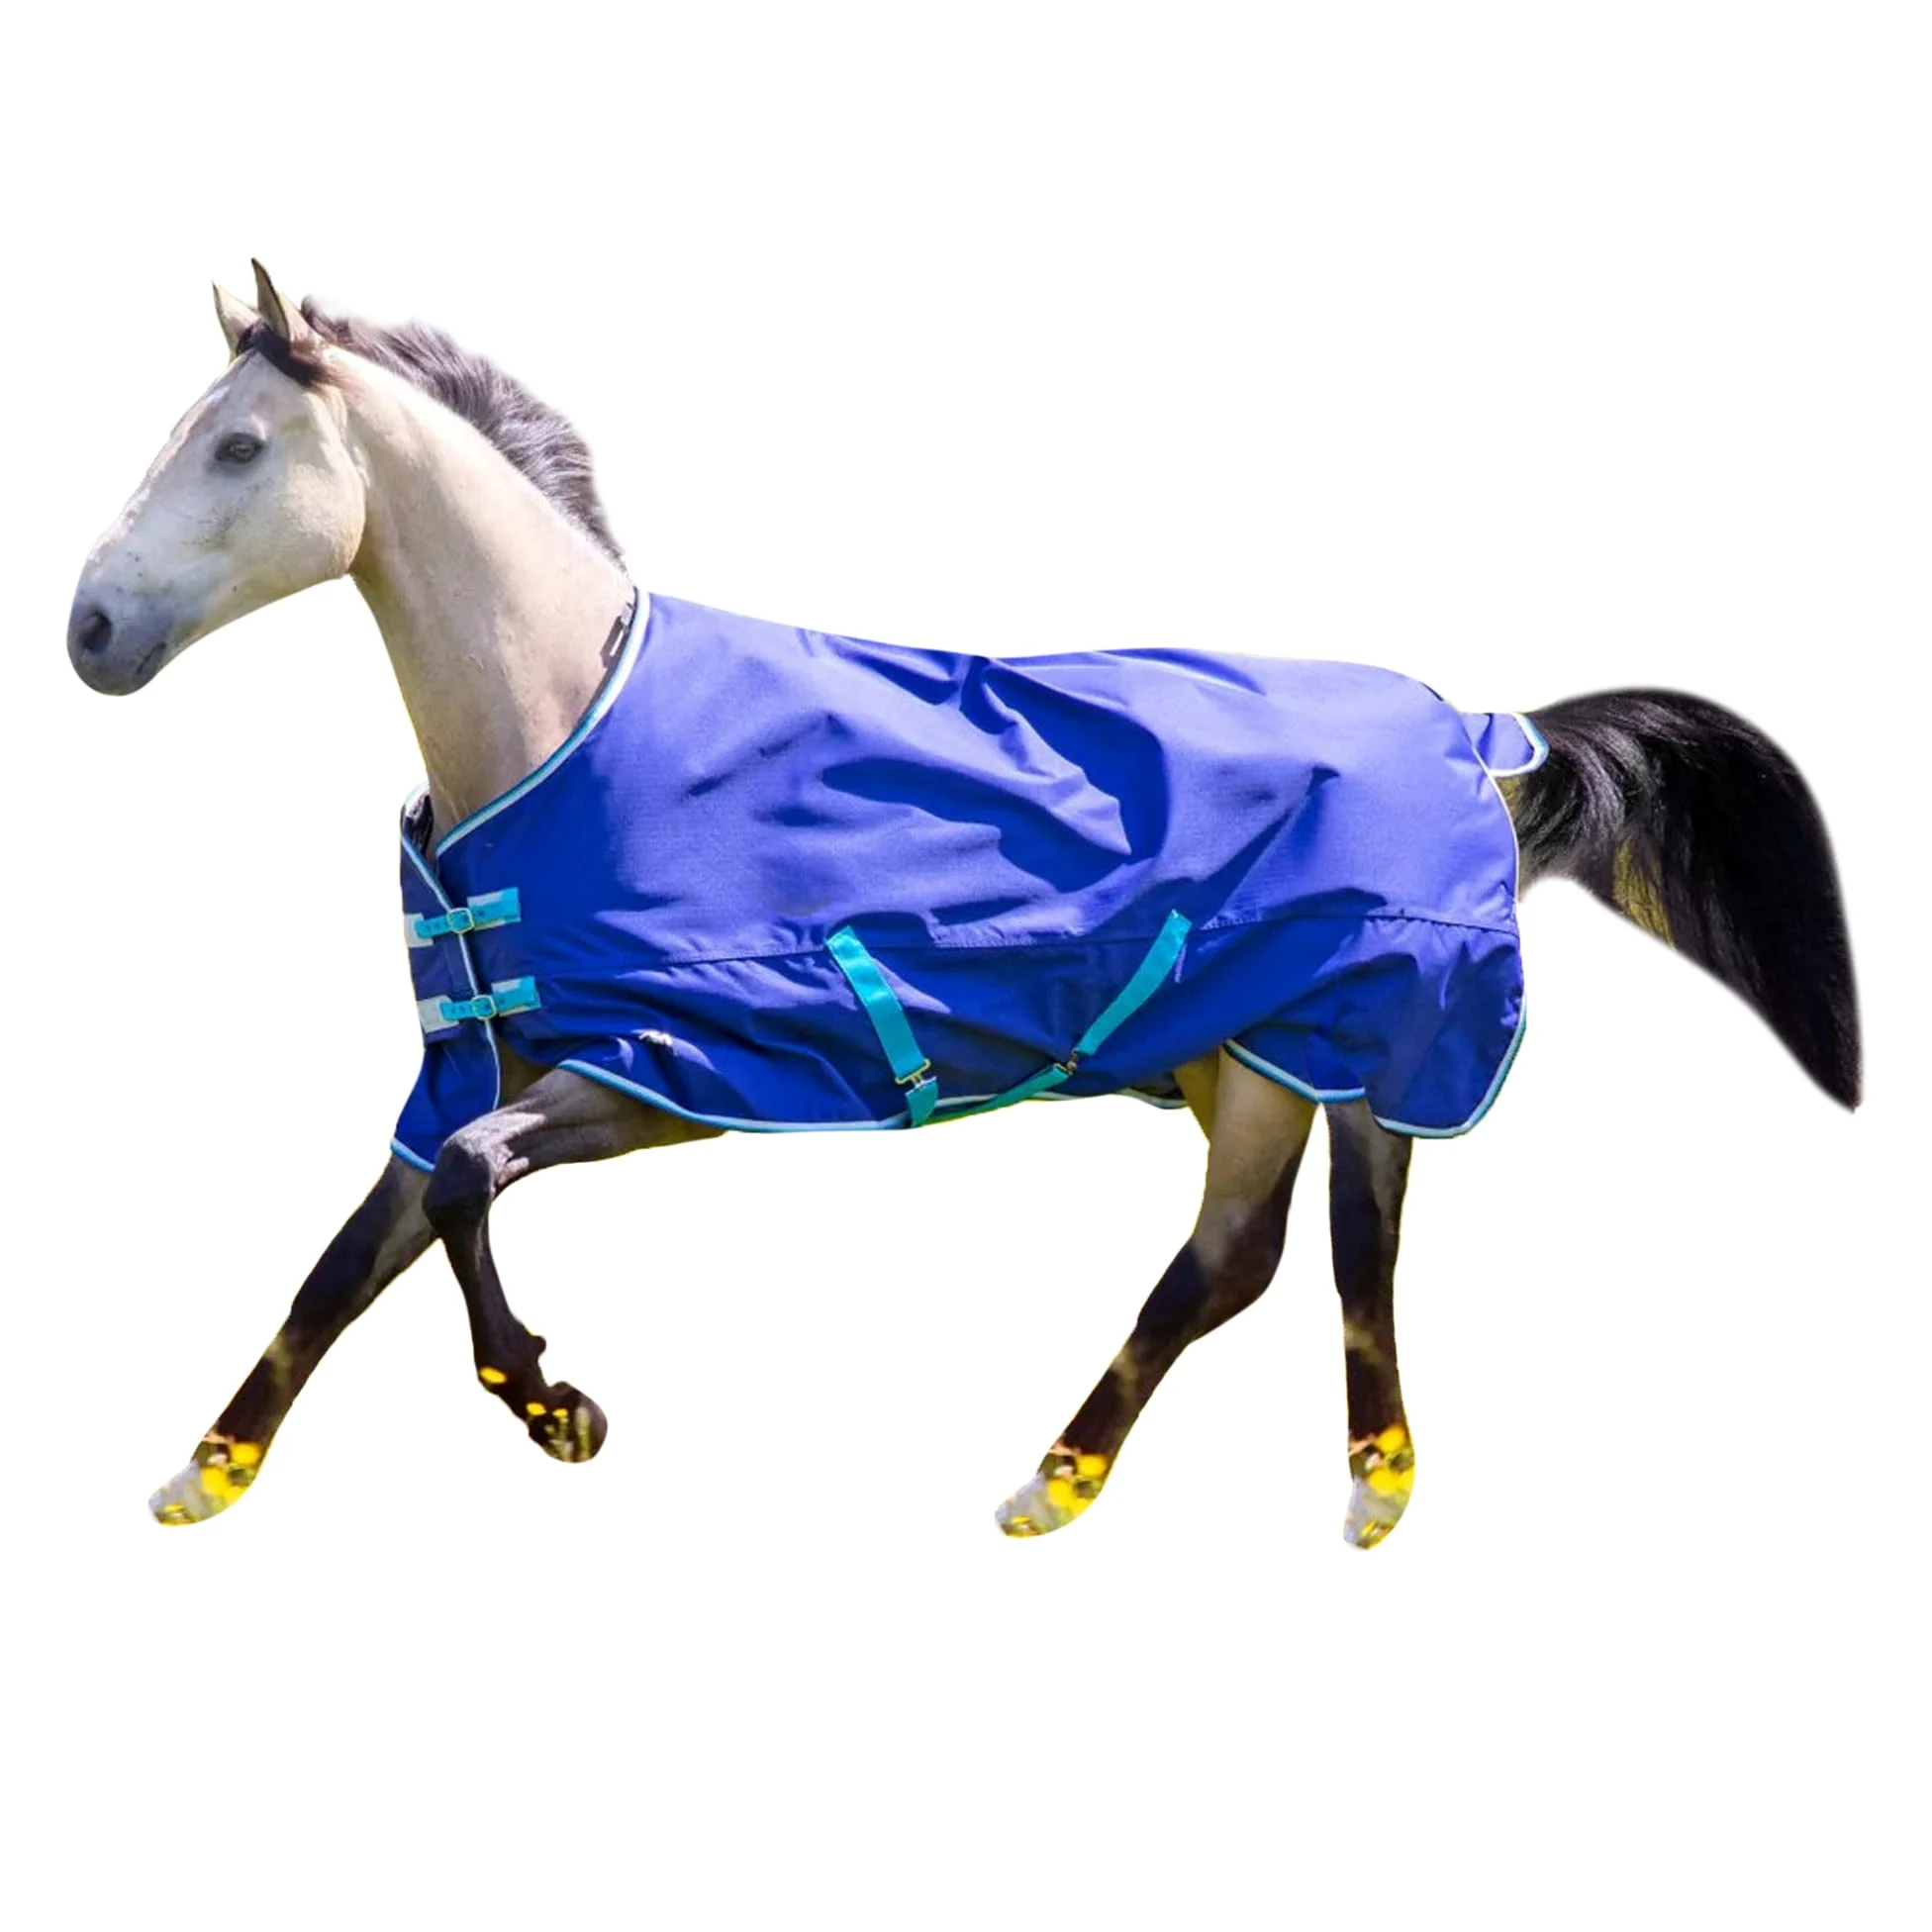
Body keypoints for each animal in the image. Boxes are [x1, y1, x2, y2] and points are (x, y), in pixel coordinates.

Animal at [67, 263, 1860, 1542]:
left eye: (237, 445)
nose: (89, 628)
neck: (566, 722)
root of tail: (1479, 731)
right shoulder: (483, 1061)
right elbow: (348, 1253)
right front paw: (209, 1470)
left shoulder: (669, 1074)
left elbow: (455, 1192)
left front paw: (556, 1407)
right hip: (1315, 1053)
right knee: (1330, 1252)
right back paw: (1343, 1480)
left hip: (1298, 1055)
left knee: (1244, 1261)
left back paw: (1058, 1483)